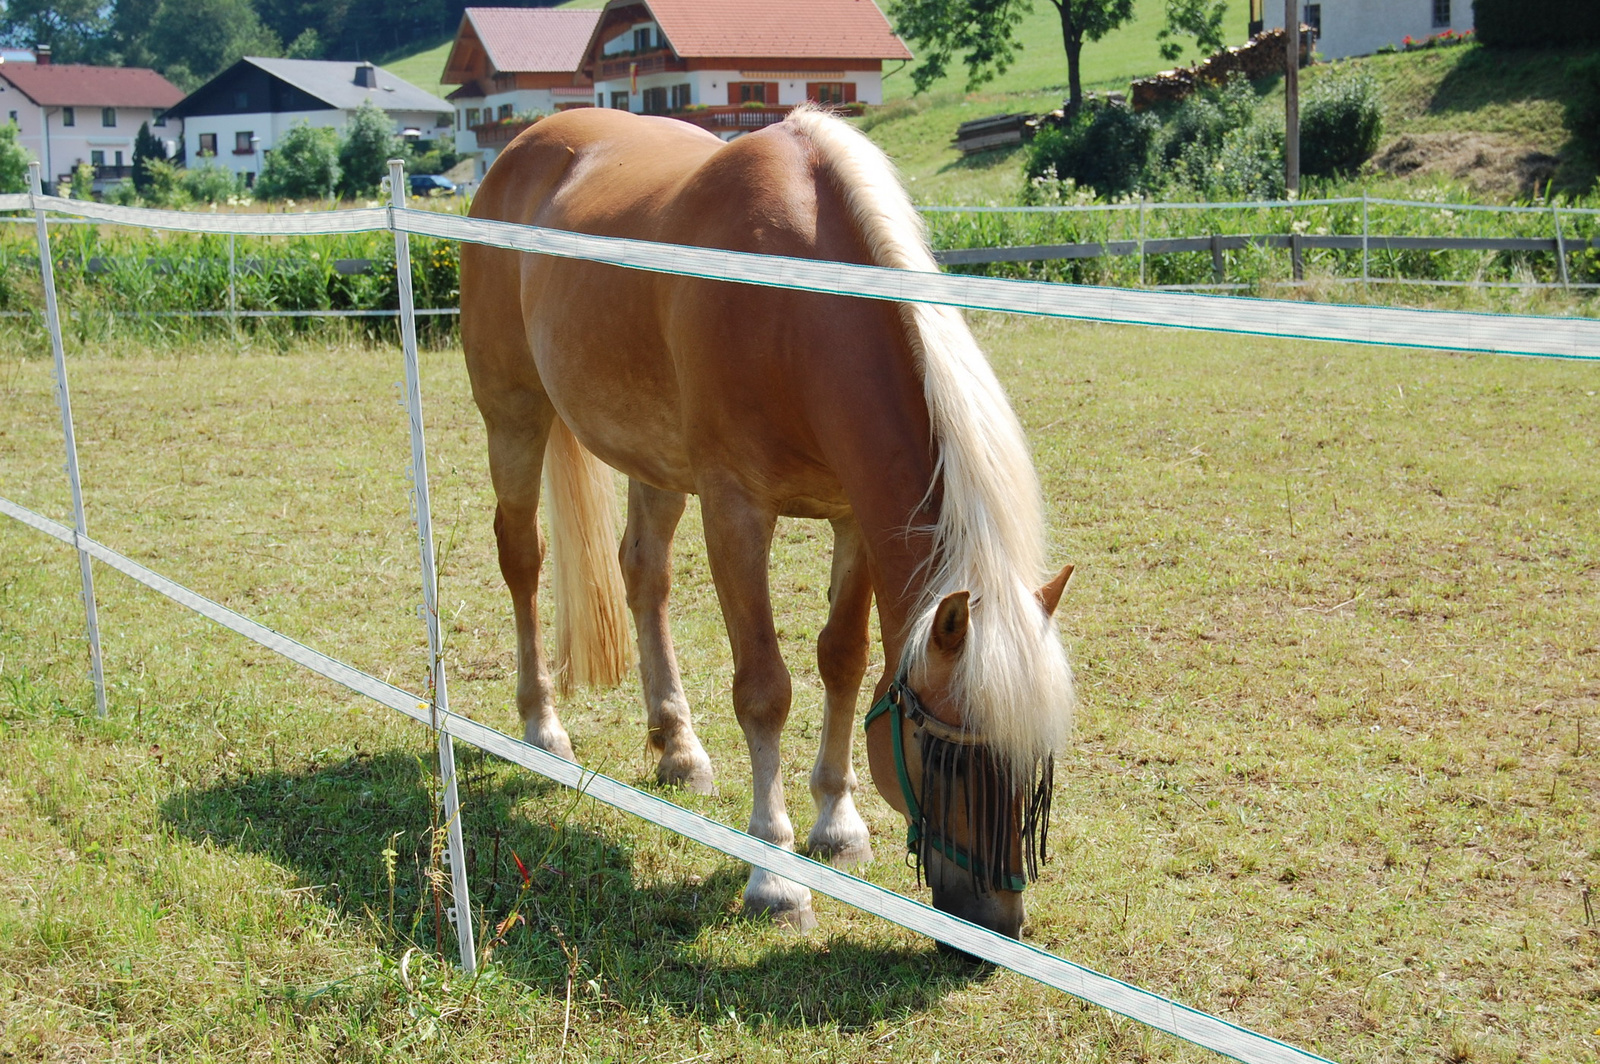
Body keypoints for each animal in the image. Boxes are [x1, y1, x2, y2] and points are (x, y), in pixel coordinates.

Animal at [457, 104, 1075, 934]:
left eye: (1036, 769)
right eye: (944, 753)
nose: (995, 926)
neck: (794, 305)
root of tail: (522, 146)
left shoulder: (853, 518)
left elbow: (842, 660)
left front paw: (838, 825)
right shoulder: (736, 509)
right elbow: (764, 689)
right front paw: (775, 877)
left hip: (655, 459)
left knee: (643, 575)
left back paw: (678, 749)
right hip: (514, 416)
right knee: (522, 557)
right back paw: (543, 728)